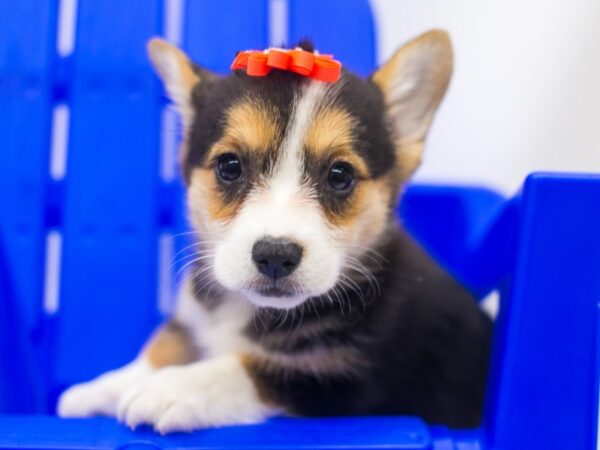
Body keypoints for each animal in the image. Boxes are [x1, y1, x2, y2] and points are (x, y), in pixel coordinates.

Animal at [57, 29, 492, 434]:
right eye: (230, 166)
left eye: (340, 175)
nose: (276, 256)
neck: (251, 309)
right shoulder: (192, 318)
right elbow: (162, 345)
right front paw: (97, 389)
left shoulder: (334, 376)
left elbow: (245, 367)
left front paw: (167, 390)